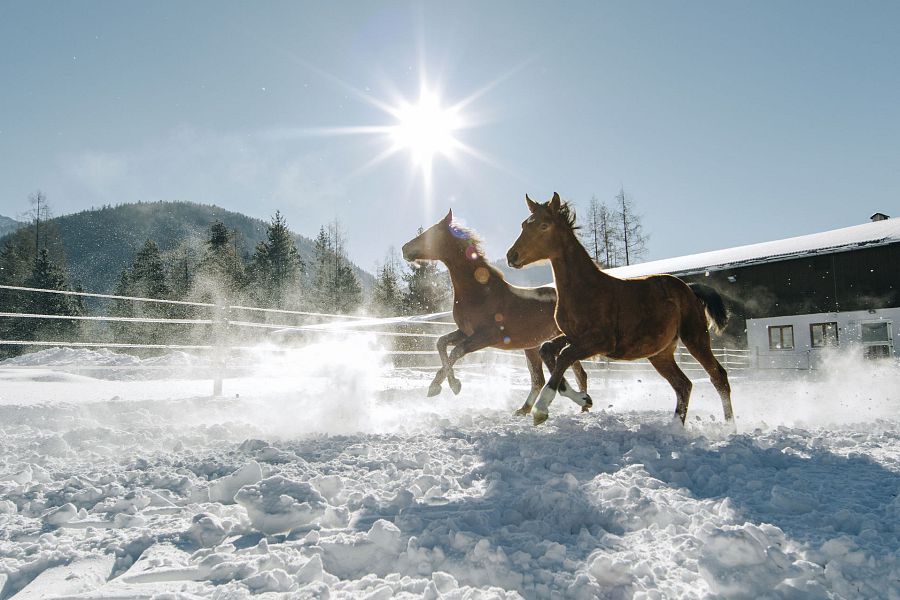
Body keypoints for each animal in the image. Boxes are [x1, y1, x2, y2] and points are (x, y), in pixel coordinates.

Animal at [400, 209, 592, 414]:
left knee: (567, 372)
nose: (405, 249)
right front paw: (438, 386)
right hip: (534, 346)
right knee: (547, 377)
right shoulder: (465, 332)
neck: (480, 293)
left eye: (432, 233)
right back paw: (529, 410)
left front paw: (450, 386)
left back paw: (581, 404)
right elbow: (441, 343)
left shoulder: (487, 336)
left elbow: (457, 351)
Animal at [506, 192, 732, 426]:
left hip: (695, 337)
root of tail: (689, 288)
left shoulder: (602, 341)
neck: (585, 289)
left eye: (544, 225)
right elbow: (547, 349)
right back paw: (675, 426)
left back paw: (729, 426)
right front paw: (582, 398)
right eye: (524, 224)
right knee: (683, 385)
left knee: (718, 377)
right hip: (660, 353)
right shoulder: (573, 335)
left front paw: (542, 409)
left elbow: (565, 356)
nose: (512, 256)